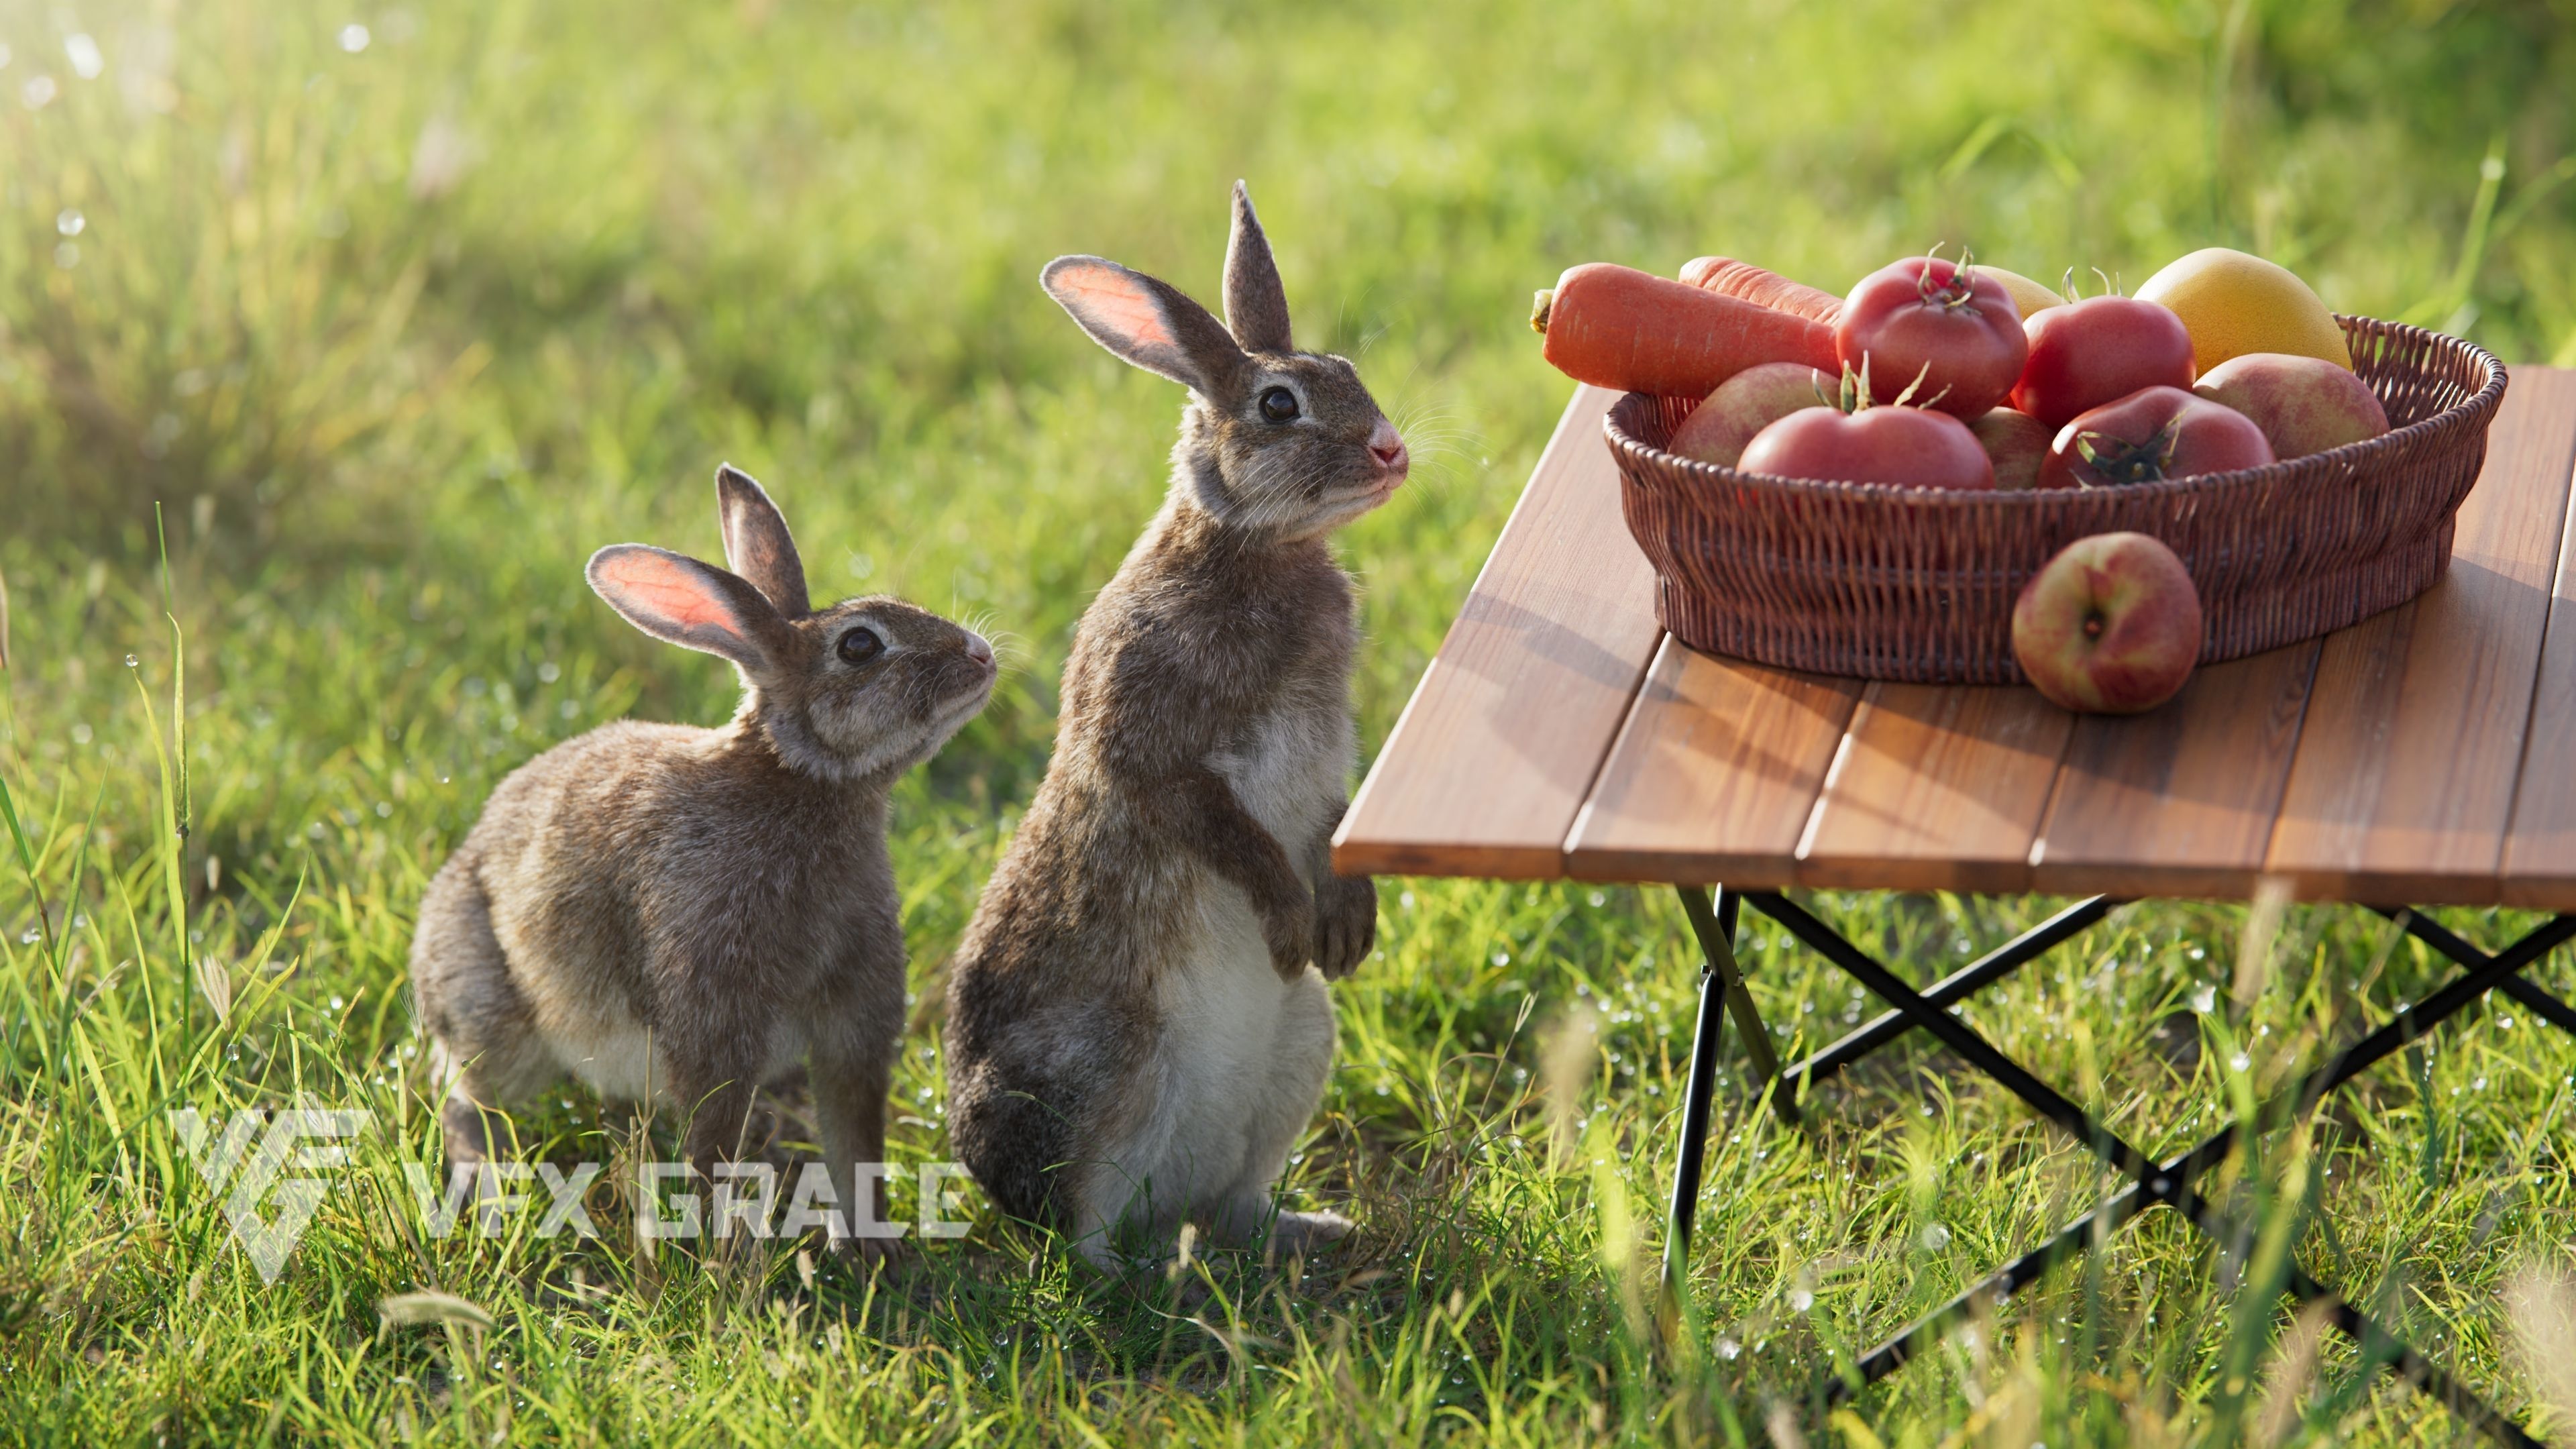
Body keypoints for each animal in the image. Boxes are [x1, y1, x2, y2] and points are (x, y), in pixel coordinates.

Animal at [410, 465, 995, 1253]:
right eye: (860, 646)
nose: (982, 655)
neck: (802, 786)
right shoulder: (713, 1021)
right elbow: (714, 1150)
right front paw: (723, 1258)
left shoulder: (854, 1024)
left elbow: (854, 1140)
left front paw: (875, 1252)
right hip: (495, 1020)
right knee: (465, 1099)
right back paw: (484, 1183)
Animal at [944, 181, 1407, 1268]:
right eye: (1278, 406)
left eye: (1347, 371)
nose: (1390, 451)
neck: (1251, 545)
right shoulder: (1148, 747)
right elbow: (1223, 827)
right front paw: (1291, 922)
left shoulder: (1328, 756)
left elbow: (1332, 815)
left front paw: (1346, 929)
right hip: (1111, 1069)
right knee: (1087, 1238)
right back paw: (1155, 1277)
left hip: (1300, 1042)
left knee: (1232, 1203)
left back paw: (1306, 1234)